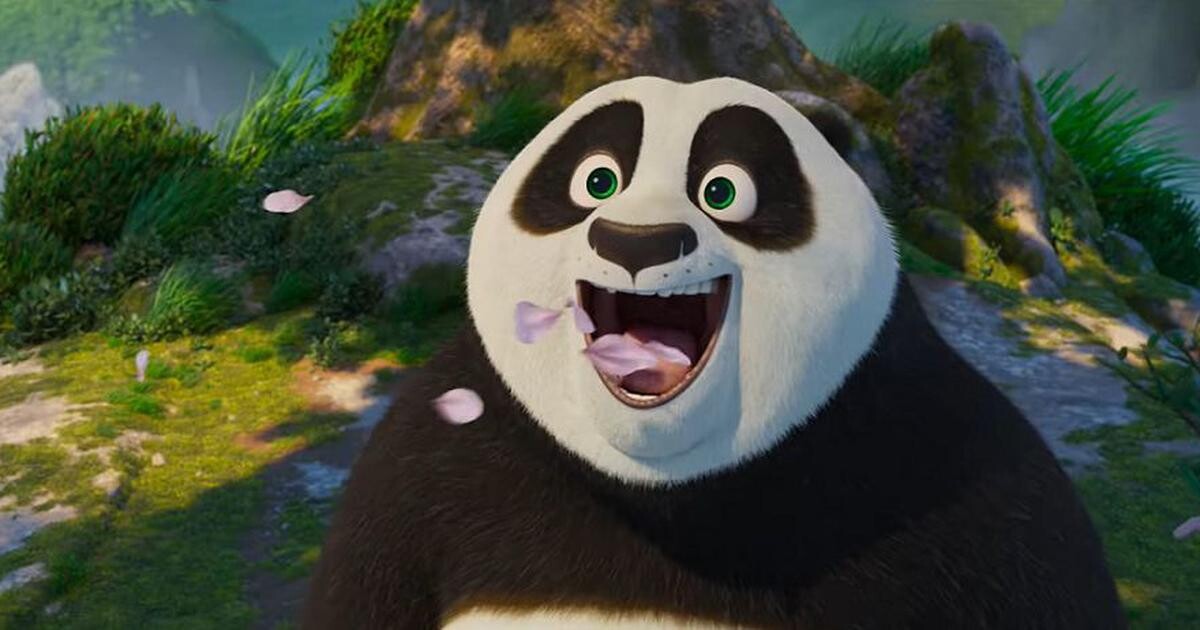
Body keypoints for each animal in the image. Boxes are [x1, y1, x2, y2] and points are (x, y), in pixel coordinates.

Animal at [302, 76, 1124, 629]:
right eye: (597, 179)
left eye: (723, 190)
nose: (636, 243)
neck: (665, 488)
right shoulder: (426, 467)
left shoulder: (964, 479)